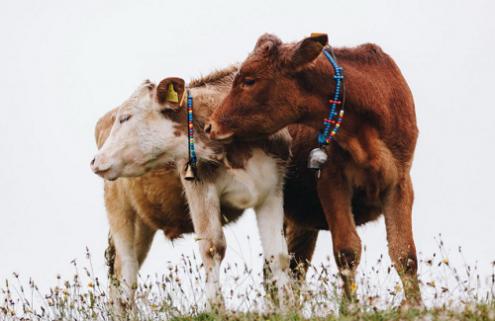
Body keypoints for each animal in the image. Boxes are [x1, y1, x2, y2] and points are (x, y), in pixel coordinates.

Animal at [207, 33, 420, 304]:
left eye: (249, 80)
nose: (210, 125)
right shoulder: (330, 180)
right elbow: (347, 250)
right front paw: (351, 308)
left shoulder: (400, 181)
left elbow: (405, 255)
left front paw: (416, 307)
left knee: (294, 267)